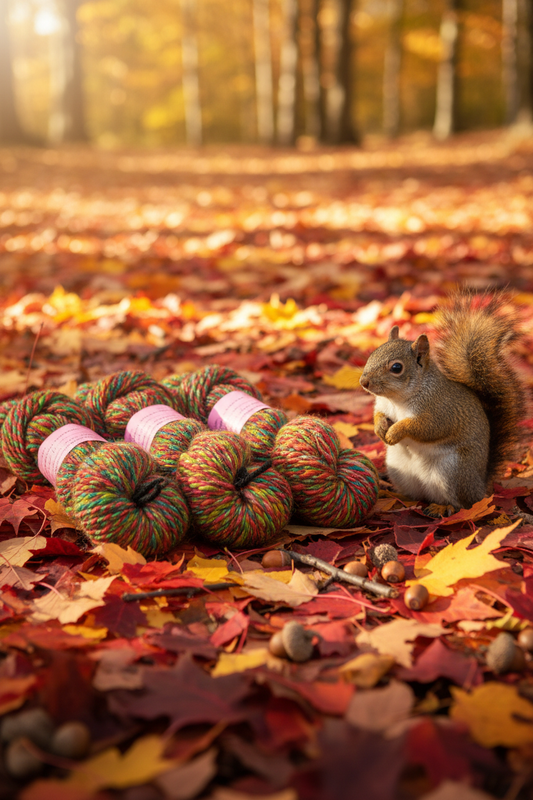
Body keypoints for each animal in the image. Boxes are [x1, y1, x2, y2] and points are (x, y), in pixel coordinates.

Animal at [359, 291, 526, 512]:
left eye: (396, 367)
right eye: (372, 354)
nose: (364, 382)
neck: (398, 398)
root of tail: (481, 487)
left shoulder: (441, 411)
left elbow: (426, 427)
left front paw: (395, 431)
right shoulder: (383, 405)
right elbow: (378, 415)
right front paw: (379, 429)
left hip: (453, 472)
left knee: (461, 504)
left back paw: (442, 508)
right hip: (398, 470)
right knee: (416, 495)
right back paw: (395, 496)